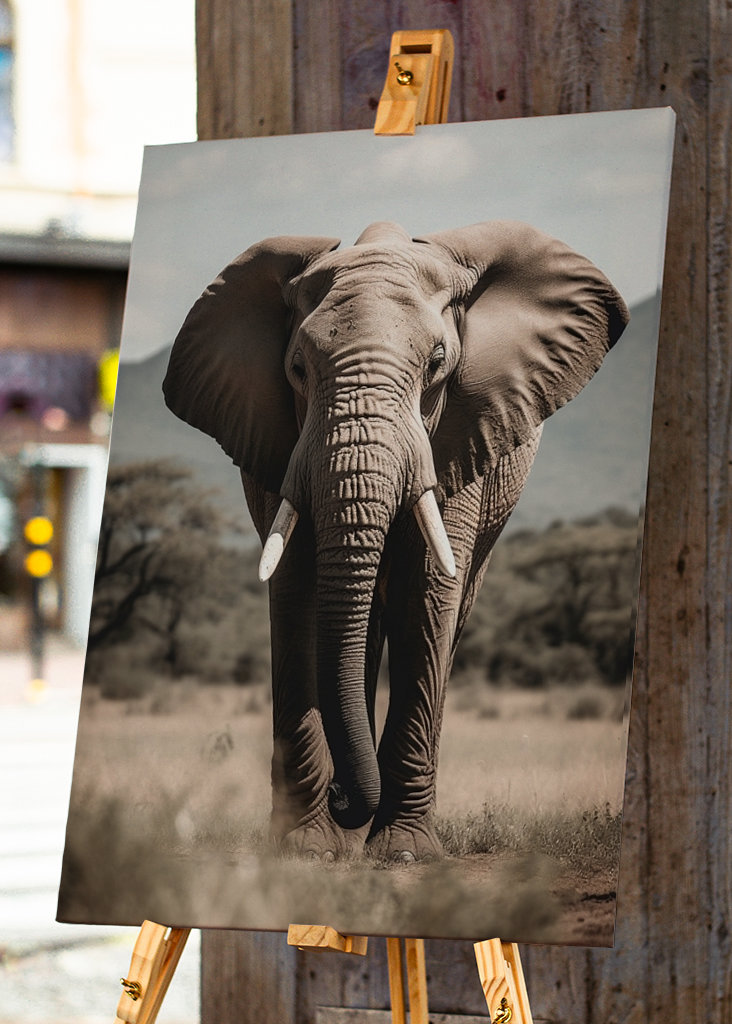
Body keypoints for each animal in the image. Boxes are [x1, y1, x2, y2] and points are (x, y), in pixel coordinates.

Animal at [162, 220, 629, 864]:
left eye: (438, 363)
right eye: (297, 368)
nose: (342, 797)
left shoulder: (464, 430)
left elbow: (426, 593)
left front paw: (404, 853)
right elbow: (298, 586)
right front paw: (308, 849)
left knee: (448, 616)